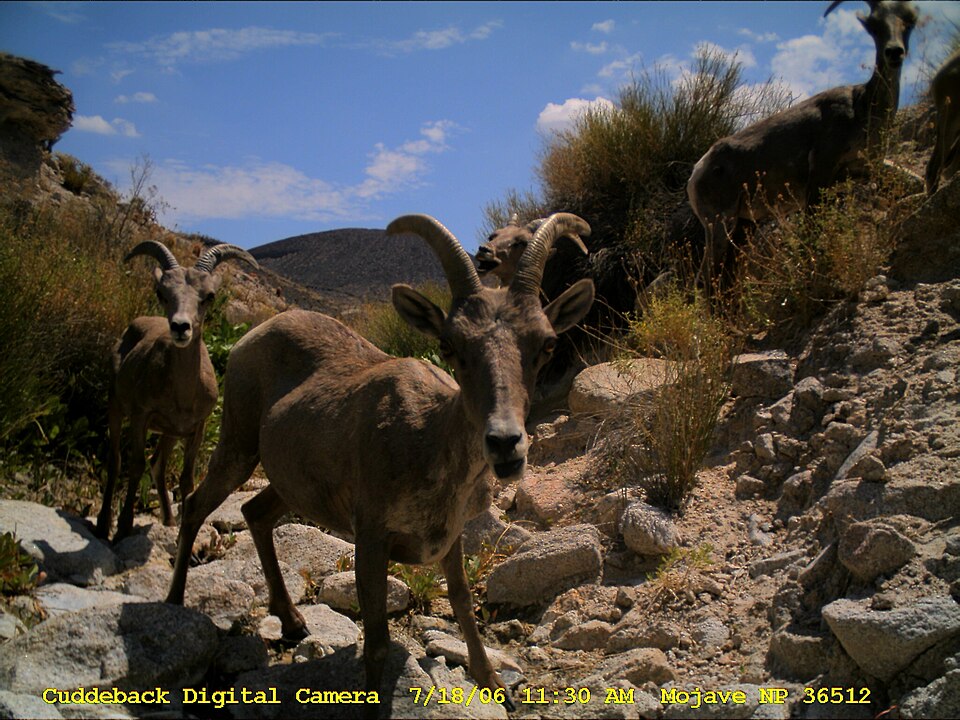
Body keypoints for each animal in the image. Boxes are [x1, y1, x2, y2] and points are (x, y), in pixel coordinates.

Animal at [95, 240, 259, 542]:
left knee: (157, 464)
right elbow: (135, 465)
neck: (182, 395)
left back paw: (169, 520)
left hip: (169, 433)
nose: (181, 327)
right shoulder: (140, 416)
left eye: (209, 296)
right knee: (116, 460)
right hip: (116, 406)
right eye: (162, 293)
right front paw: (123, 528)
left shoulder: (196, 427)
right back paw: (103, 525)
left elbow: (186, 478)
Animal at [164, 213, 595, 709]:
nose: (505, 443)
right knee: (196, 505)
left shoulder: (449, 537)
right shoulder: (370, 538)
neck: (426, 438)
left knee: (255, 512)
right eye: (449, 344)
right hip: (237, 443)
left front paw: (495, 684)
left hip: (292, 483)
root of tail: (248, 338)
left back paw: (293, 623)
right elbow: (377, 643)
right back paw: (174, 606)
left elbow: (463, 603)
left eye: (546, 343)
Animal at [688, 0, 918, 284]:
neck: (862, 106)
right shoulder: (820, 173)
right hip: (720, 225)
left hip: (742, 227)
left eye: (909, 21)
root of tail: (697, 172)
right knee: (706, 280)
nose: (894, 52)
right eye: (873, 25)